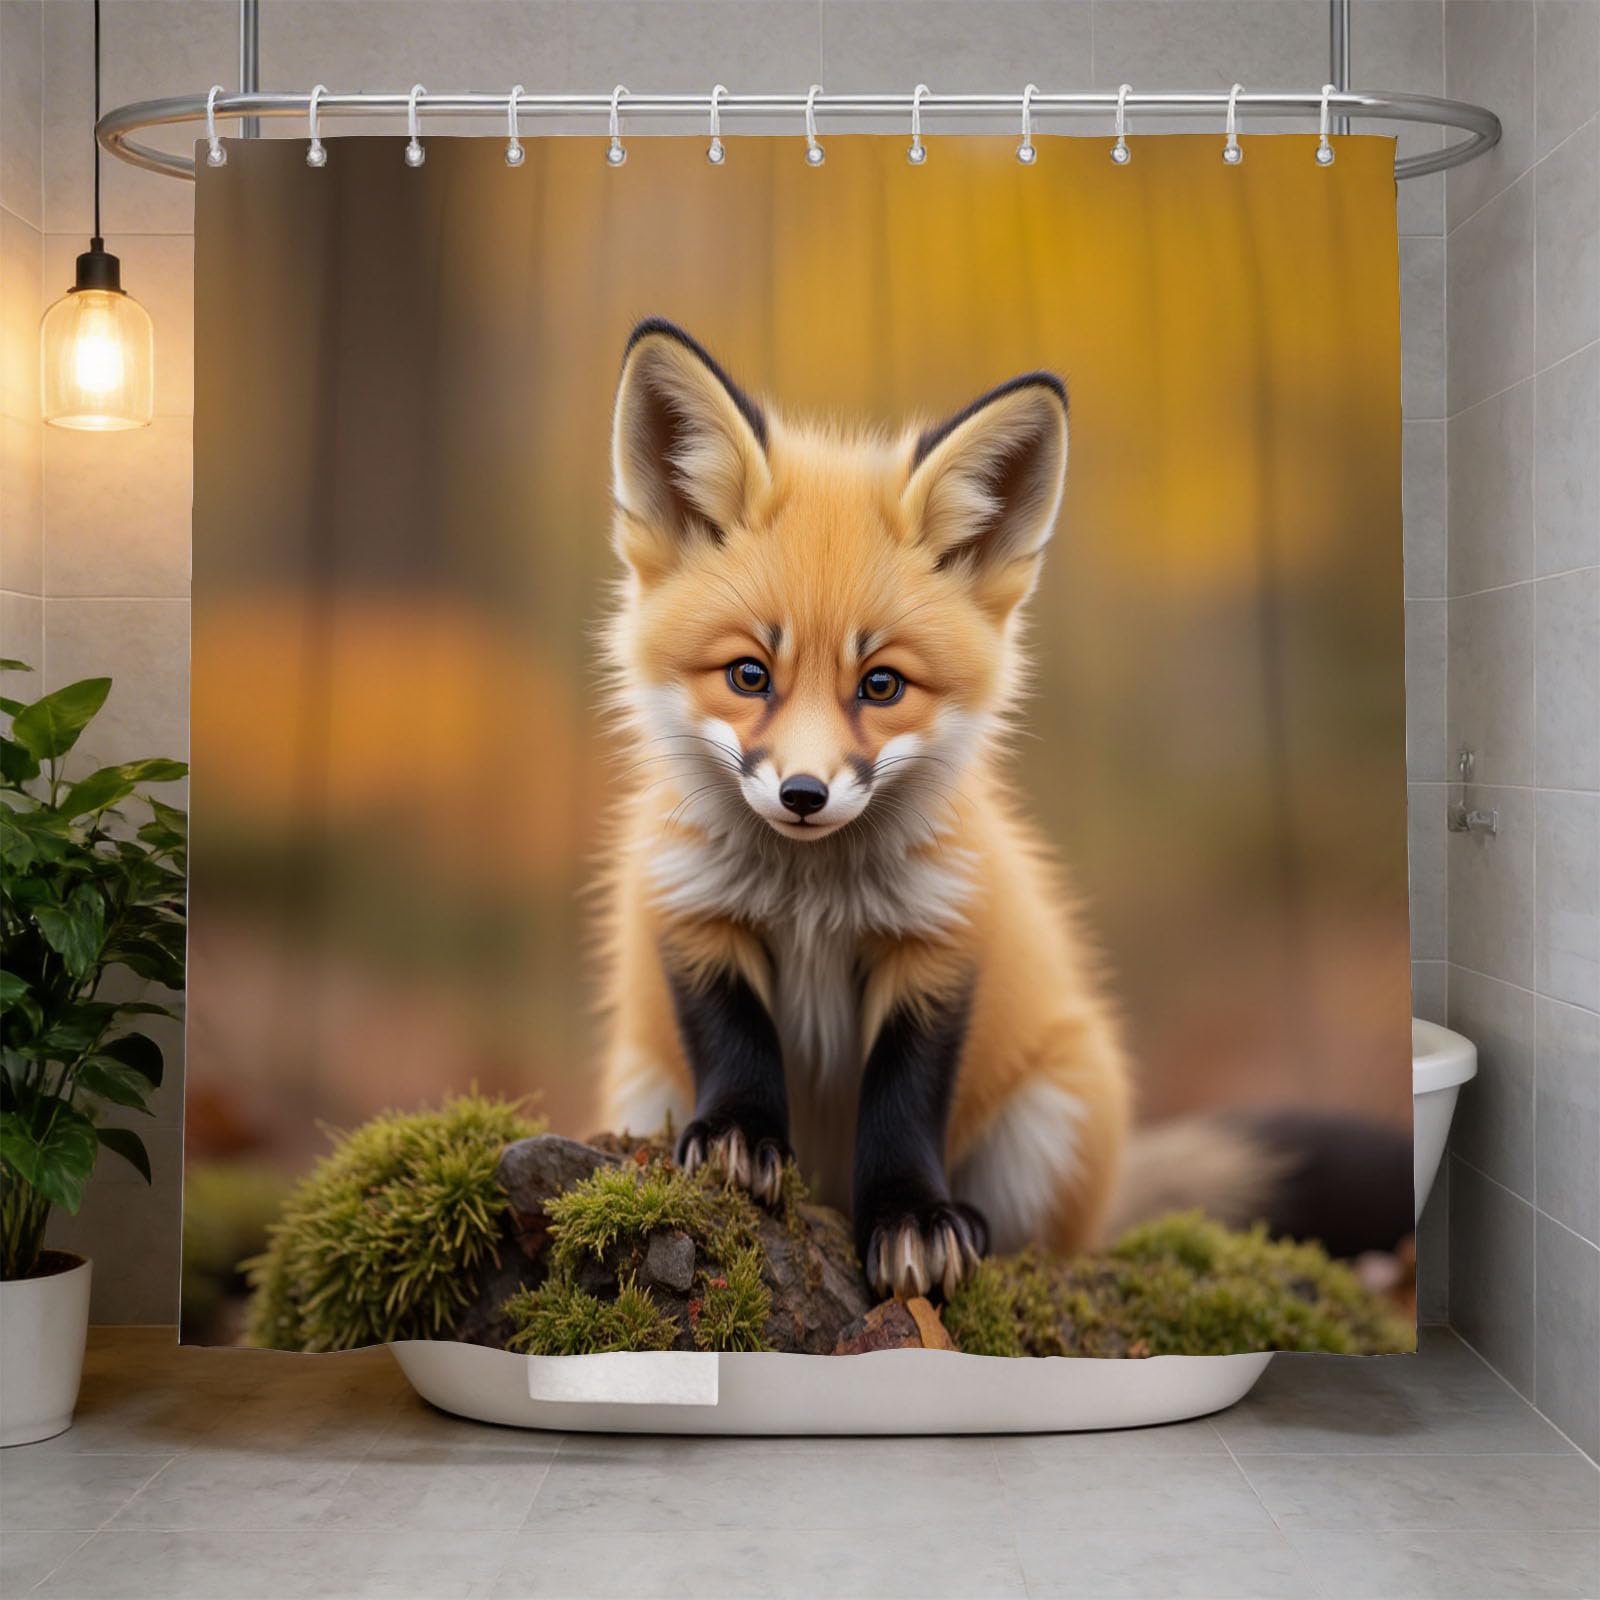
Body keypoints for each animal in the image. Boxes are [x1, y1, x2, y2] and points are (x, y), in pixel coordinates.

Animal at [595, 318, 1132, 1302]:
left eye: (881, 685)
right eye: (749, 675)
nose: (803, 794)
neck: (812, 897)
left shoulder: (938, 942)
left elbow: (903, 1101)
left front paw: (912, 1220)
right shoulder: (693, 913)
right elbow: (735, 1046)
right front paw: (738, 1139)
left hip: (1050, 1125)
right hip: (640, 1086)